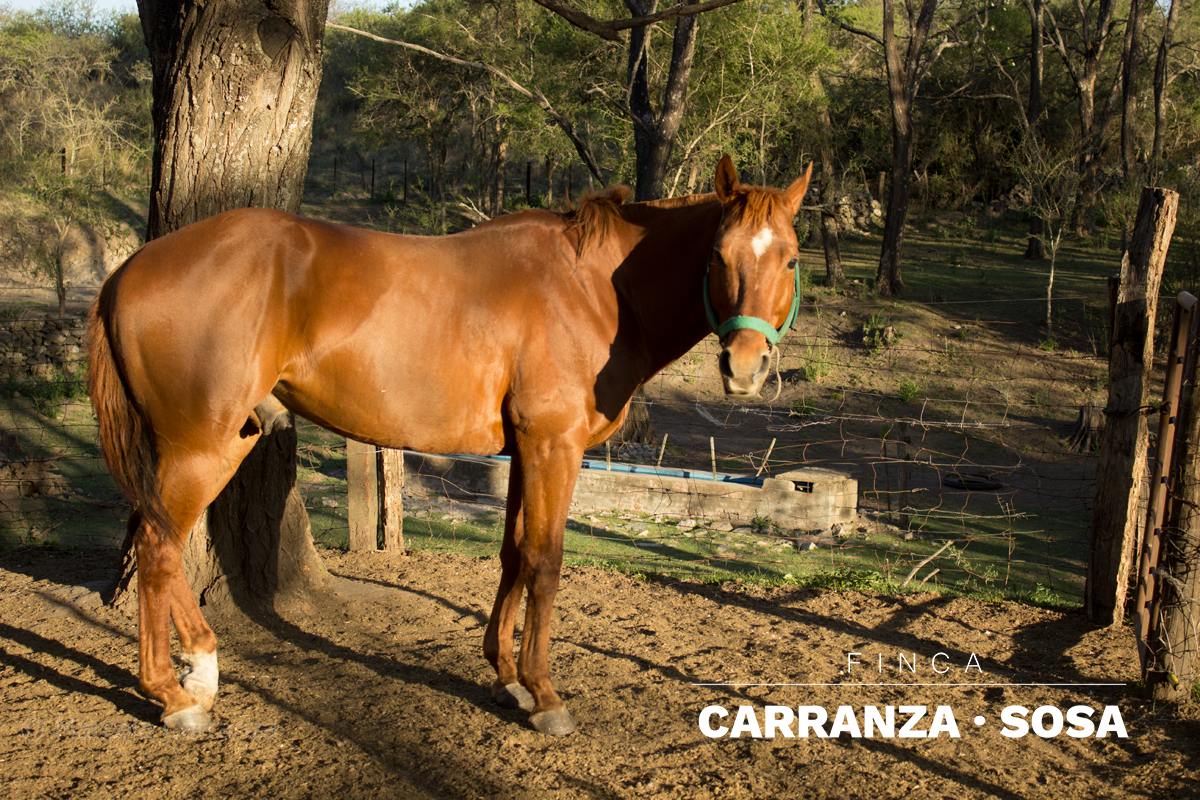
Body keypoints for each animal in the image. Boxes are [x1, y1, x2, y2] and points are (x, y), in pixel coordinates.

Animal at [87, 154, 812, 735]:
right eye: (718, 256)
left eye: (790, 258)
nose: (745, 366)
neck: (595, 290)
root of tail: (130, 268)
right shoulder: (555, 446)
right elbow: (546, 561)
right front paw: (545, 695)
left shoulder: (522, 452)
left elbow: (513, 554)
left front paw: (508, 679)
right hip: (199, 446)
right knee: (157, 549)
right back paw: (175, 697)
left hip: (224, 442)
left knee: (159, 541)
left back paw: (200, 671)